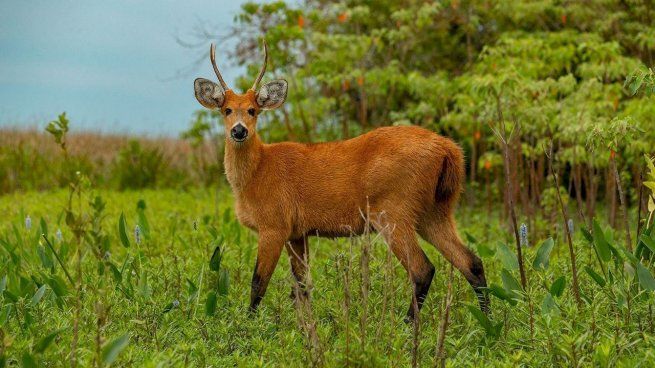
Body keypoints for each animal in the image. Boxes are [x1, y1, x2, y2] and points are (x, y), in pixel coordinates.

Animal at [192, 41, 490, 322]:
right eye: (226, 109)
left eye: (253, 110)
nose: (239, 131)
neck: (256, 174)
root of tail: (449, 150)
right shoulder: (297, 232)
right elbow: (302, 285)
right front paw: (304, 326)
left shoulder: (274, 225)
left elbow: (258, 283)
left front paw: (250, 326)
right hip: (436, 210)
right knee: (472, 262)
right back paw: (488, 322)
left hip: (393, 211)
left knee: (423, 269)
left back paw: (408, 326)